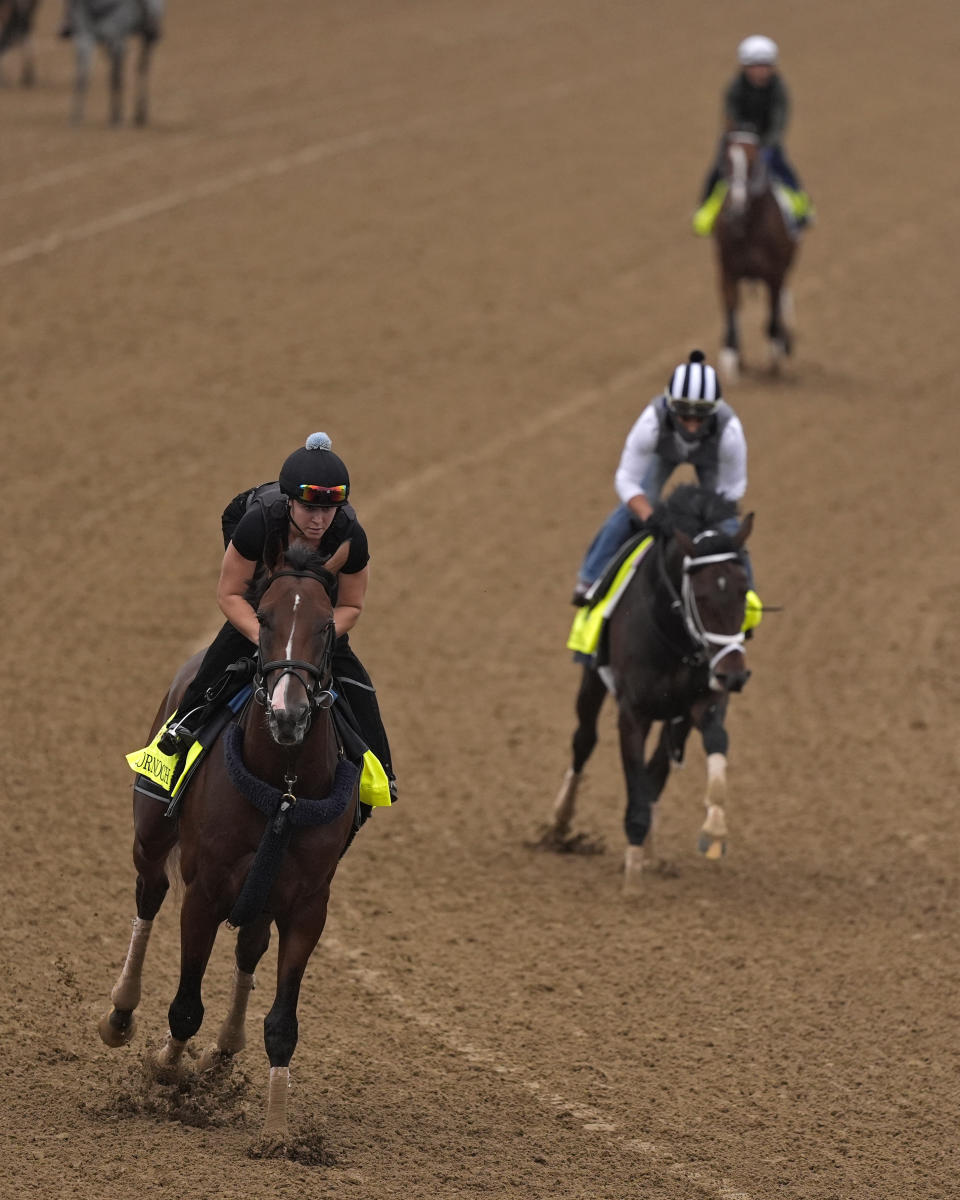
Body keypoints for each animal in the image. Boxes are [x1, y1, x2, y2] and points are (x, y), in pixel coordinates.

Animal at [98, 542, 360, 1142]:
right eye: (262, 619)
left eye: (327, 625)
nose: (288, 714)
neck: (283, 786)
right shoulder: (204, 891)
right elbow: (185, 1004)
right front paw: (166, 1070)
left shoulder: (307, 906)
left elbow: (282, 1023)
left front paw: (277, 1133)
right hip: (151, 836)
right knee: (148, 897)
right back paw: (121, 1014)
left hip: (262, 896)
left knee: (248, 948)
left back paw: (223, 1053)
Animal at [544, 484, 753, 892]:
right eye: (700, 595)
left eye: (744, 591)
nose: (734, 676)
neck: (672, 635)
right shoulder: (633, 713)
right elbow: (635, 784)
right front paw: (632, 881)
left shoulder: (701, 700)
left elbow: (712, 744)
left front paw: (713, 829)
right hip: (592, 680)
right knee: (584, 740)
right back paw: (560, 823)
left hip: (675, 714)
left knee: (658, 769)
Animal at [710, 127, 796, 379]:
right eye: (726, 162)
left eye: (753, 162)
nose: (735, 208)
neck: (747, 228)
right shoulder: (727, 270)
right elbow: (731, 308)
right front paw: (730, 358)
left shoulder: (775, 273)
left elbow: (774, 310)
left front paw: (777, 350)